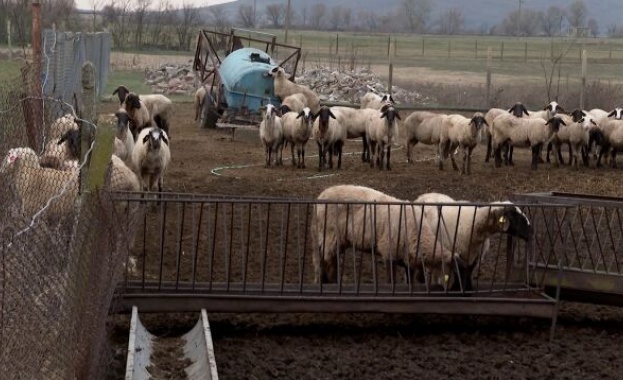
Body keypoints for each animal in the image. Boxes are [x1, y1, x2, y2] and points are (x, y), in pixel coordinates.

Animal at [312, 184, 458, 284]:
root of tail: (321, 196)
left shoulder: (407, 259)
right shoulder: (389, 251)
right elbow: (390, 280)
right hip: (329, 236)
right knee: (326, 262)